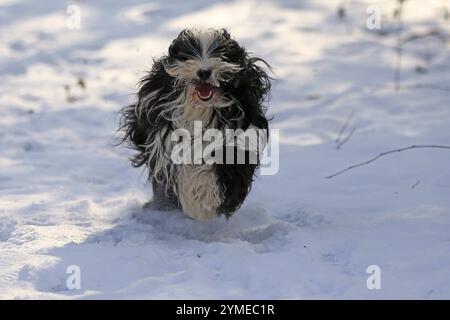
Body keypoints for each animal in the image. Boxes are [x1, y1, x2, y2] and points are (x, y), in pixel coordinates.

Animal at [119, 28, 270, 220]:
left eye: (221, 56)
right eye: (188, 55)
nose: (204, 72)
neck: (200, 110)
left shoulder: (239, 139)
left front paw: (205, 201)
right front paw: (193, 203)